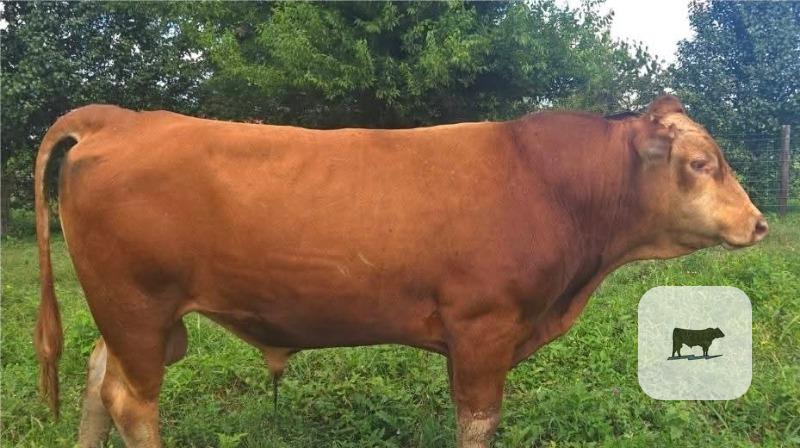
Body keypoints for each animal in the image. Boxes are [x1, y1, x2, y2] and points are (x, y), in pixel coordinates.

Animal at [33, 95, 768, 447]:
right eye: (701, 163)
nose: (759, 223)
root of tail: (124, 120)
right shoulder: (483, 327)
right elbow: (478, 422)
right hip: (137, 305)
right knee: (131, 402)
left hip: (133, 316)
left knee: (98, 380)